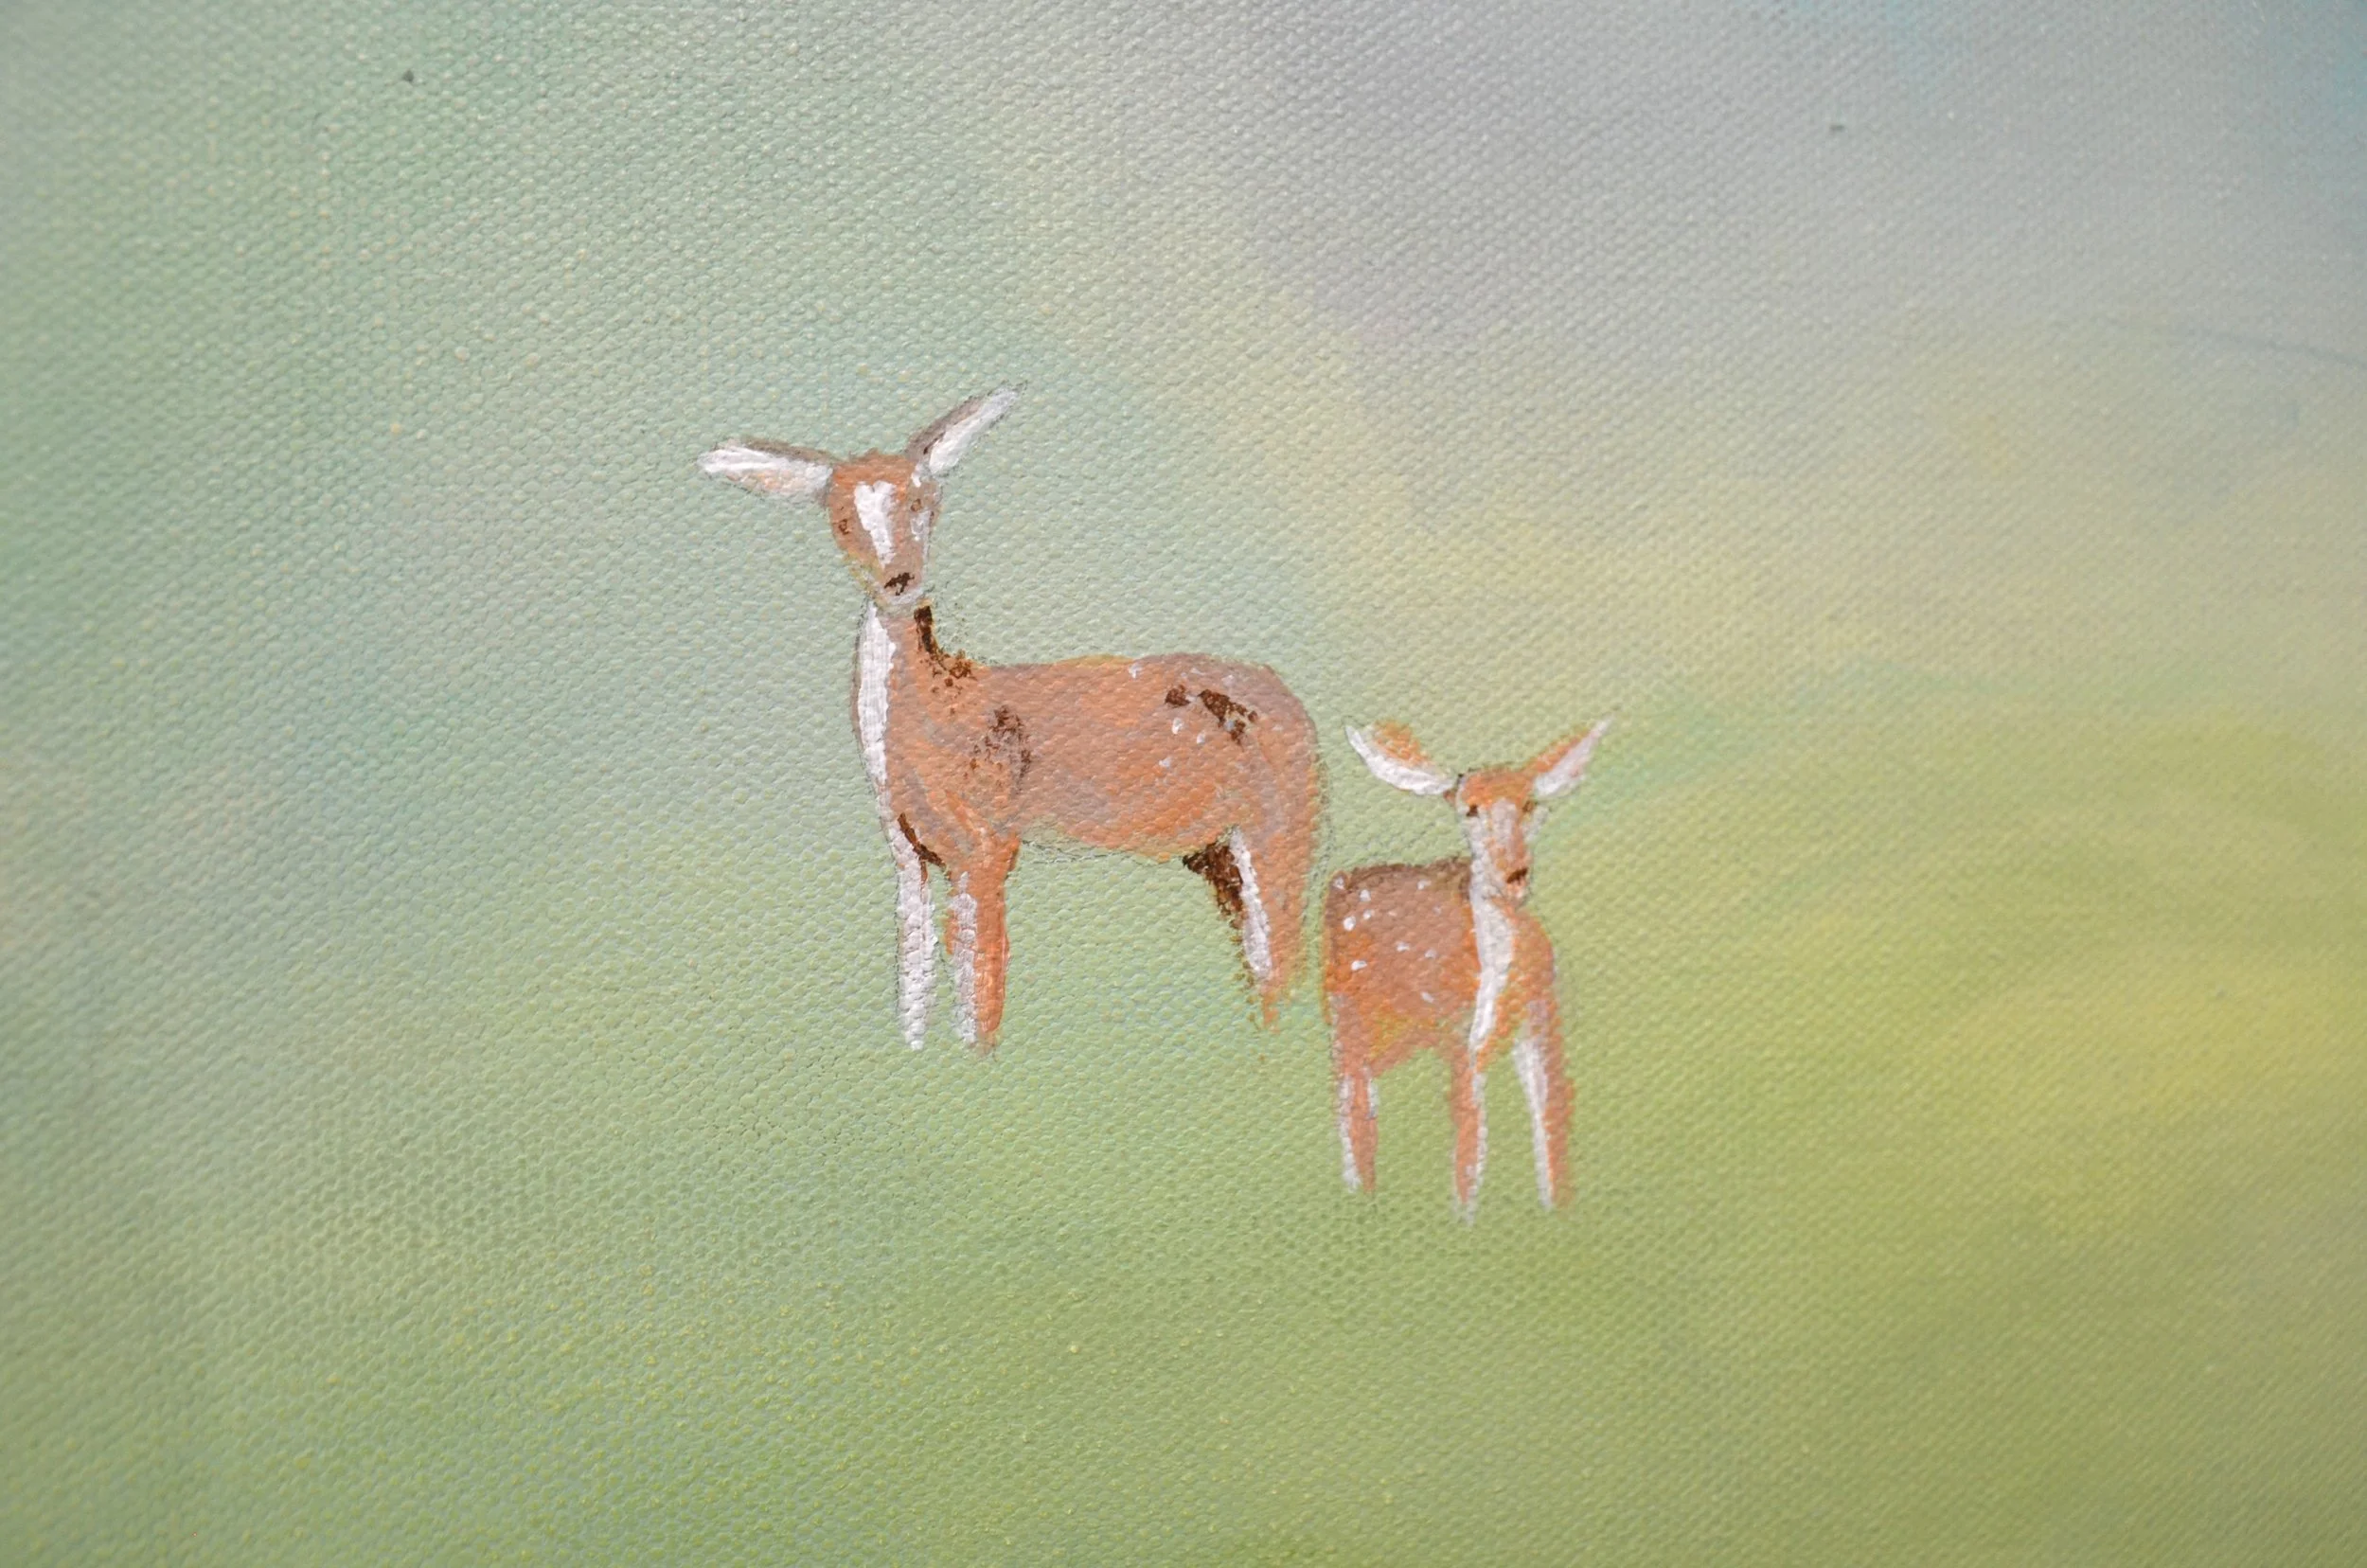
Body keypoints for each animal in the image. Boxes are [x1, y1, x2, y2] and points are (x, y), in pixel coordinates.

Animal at [698, 391, 1319, 1051]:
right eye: (840, 520)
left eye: (924, 501)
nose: (900, 579)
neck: (935, 723)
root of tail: (1295, 704)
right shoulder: (906, 853)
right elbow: (914, 983)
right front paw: (914, 1055)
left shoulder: (988, 838)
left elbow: (979, 997)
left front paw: (977, 1060)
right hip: (1216, 853)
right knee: (1263, 969)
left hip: (1279, 822)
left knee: (1283, 957)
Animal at [1324, 717, 1610, 1219]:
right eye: (1469, 809)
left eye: (1529, 803)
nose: (1513, 872)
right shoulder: (1459, 1034)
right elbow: (1469, 1153)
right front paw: (1464, 1222)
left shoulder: (1542, 1015)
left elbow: (1551, 1120)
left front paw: (1558, 1209)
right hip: (1348, 1018)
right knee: (1353, 1107)